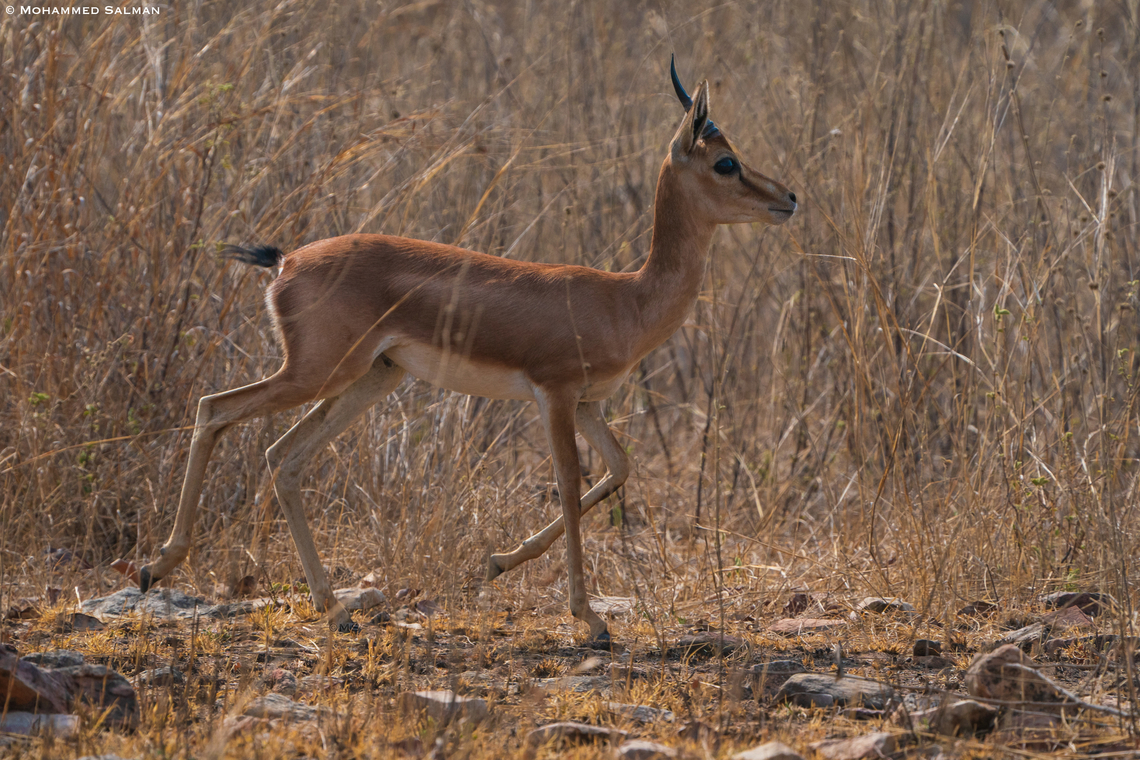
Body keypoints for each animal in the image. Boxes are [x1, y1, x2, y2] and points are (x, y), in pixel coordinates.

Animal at [139, 58, 796, 642]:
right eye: (725, 162)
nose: (788, 198)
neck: (625, 299)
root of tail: (285, 263)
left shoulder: (588, 403)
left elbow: (618, 469)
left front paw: (497, 562)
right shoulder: (555, 394)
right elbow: (568, 482)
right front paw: (590, 619)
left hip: (372, 377)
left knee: (283, 457)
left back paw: (335, 610)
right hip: (316, 372)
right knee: (215, 409)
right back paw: (156, 566)